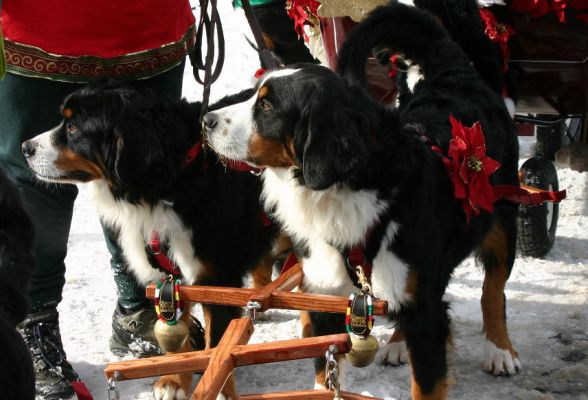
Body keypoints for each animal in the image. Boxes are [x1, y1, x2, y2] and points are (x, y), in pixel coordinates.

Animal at [20, 82, 282, 400]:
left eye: (72, 127)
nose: (25, 147)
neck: (174, 181)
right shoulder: (171, 279)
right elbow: (178, 341)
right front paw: (173, 380)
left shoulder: (215, 277)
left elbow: (216, 345)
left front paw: (218, 387)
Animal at [204, 3, 520, 400]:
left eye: (267, 107)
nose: (206, 121)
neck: (341, 192)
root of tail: (456, 74)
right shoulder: (322, 294)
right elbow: (323, 373)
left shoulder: (425, 312)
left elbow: (427, 382)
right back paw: (398, 344)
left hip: (503, 221)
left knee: (493, 291)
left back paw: (500, 350)